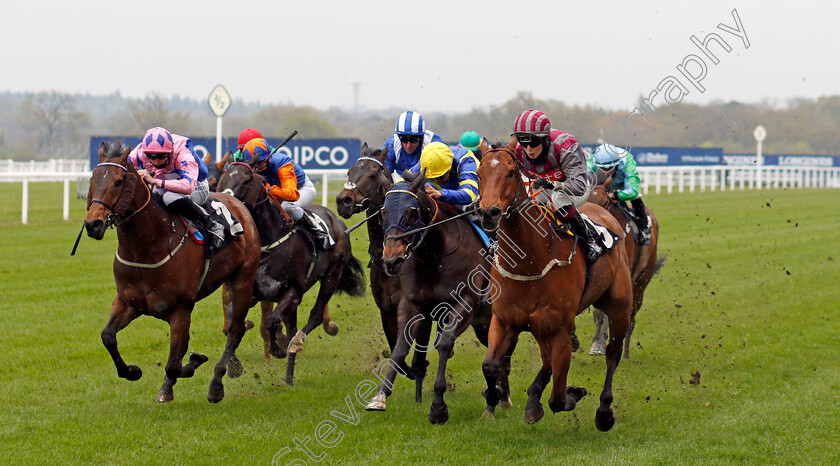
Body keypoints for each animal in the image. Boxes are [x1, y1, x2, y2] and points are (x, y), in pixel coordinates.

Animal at [84, 140, 262, 402]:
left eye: (117, 181)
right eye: (92, 180)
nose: (92, 224)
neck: (148, 247)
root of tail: (240, 205)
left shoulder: (181, 308)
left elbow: (174, 364)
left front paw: (173, 383)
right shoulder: (128, 302)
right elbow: (108, 336)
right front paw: (133, 371)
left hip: (242, 280)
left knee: (236, 329)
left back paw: (216, 384)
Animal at [215, 158, 366, 384]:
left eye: (246, 180)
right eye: (223, 177)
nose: (227, 201)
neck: (269, 242)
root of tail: (338, 221)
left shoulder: (292, 293)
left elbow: (271, 321)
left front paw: (278, 348)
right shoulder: (253, 292)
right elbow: (234, 318)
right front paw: (234, 366)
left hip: (331, 275)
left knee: (315, 316)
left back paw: (295, 344)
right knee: (293, 325)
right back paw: (288, 378)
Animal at [370, 171, 520, 426]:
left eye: (411, 212)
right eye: (383, 212)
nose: (391, 260)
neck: (434, 254)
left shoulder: (466, 303)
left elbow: (445, 343)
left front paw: (438, 407)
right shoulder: (412, 305)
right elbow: (400, 347)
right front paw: (380, 396)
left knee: (505, 358)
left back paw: (502, 398)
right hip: (483, 325)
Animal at [476, 147, 632, 434]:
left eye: (511, 172)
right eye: (479, 173)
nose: (488, 213)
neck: (530, 260)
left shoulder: (559, 329)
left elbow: (558, 398)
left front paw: (573, 393)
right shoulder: (504, 321)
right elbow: (490, 365)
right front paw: (494, 397)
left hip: (619, 308)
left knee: (612, 355)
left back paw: (604, 412)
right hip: (540, 327)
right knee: (546, 361)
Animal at [588, 168, 668, 356]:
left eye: (605, 202)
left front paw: (604, 342)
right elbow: (598, 312)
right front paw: (597, 343)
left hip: (641, 280)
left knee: (631, 315)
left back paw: (625, 352)